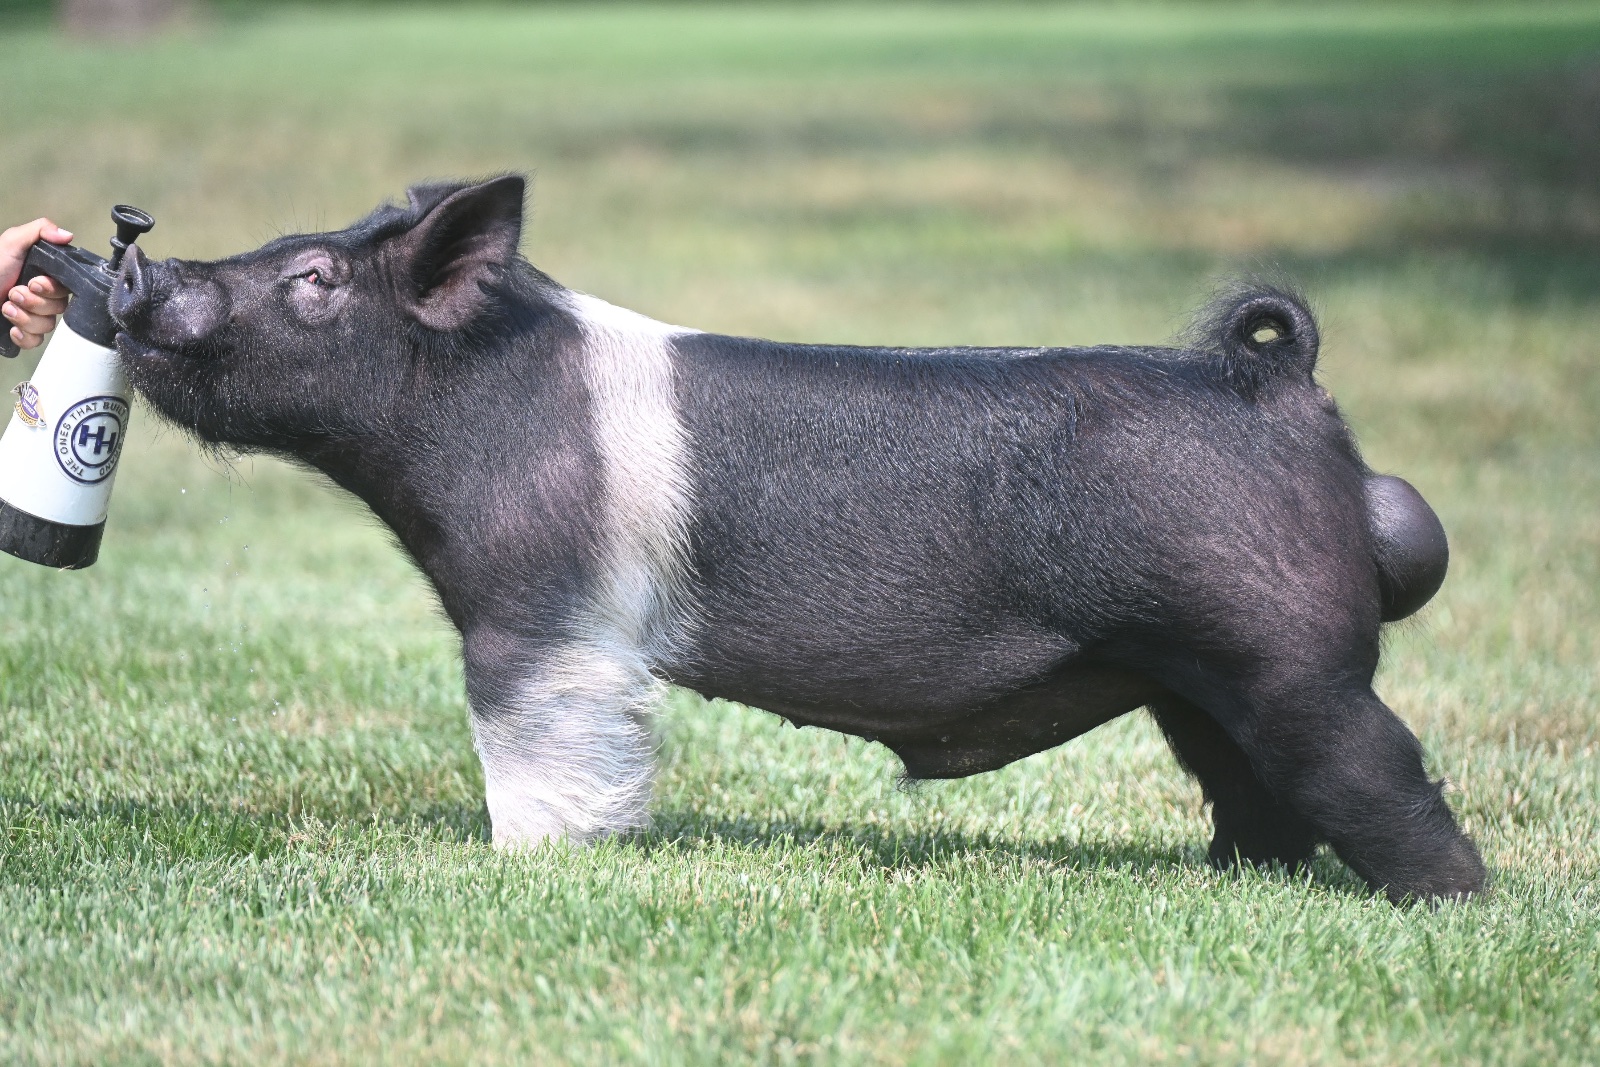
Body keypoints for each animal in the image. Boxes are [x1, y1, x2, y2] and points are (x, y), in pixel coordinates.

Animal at [110, 175, 1484, 902]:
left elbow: (533, 744)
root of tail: (1280, 387)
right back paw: (1235, 880)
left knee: (1382, 777)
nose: (144, 270)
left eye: (314, 280)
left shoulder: (537, 612)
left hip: (1290, 659)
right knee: (1253, 788)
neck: (472, 407)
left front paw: (532, 862)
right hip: (1198, 679)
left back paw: (1453, 905)